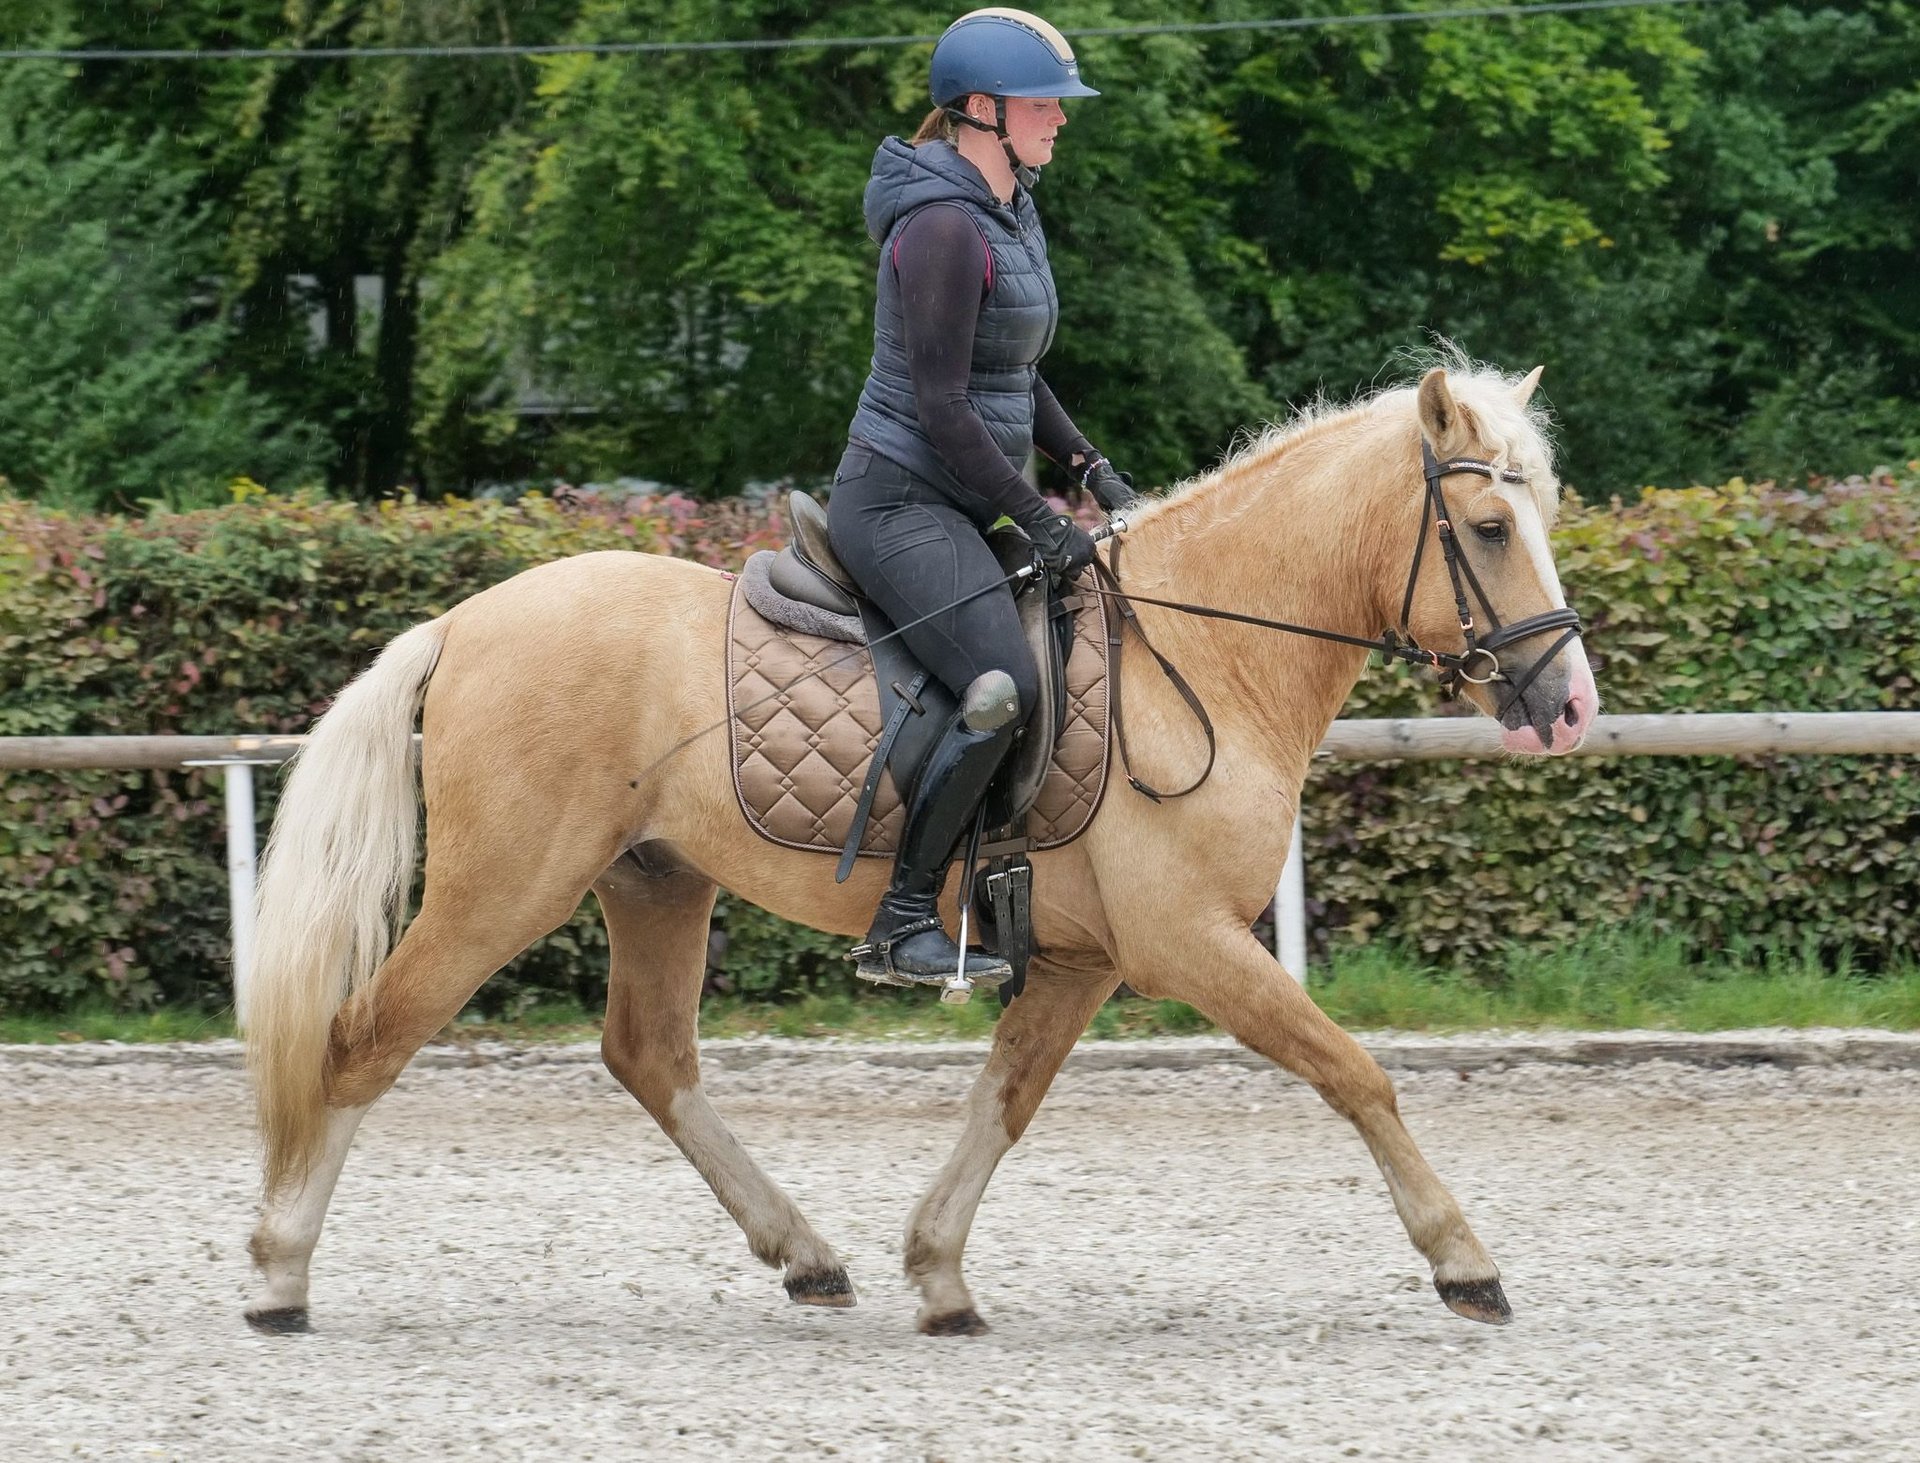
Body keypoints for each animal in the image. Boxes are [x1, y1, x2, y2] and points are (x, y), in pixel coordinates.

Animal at [243, 363, 1598, 1336]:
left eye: (1541, 512)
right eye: (1488, 525)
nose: (1572, 701)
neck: (1204, 653)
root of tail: (466, 618)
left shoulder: (1083, 959)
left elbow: (1007, 1095)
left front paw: (938, 1270)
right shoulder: (1189, 943)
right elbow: (1354, 1071)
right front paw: (1465, 1261)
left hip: (656, 881)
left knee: (649, 1056)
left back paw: (806, 1255)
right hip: (502, 890)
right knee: (365, 1039)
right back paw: (277, 1272)